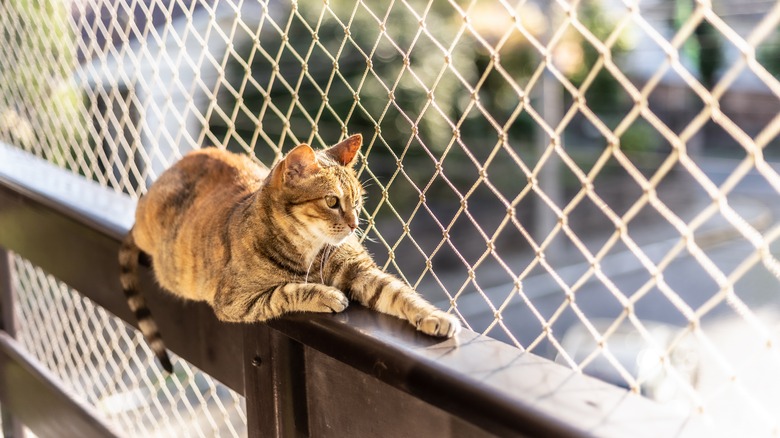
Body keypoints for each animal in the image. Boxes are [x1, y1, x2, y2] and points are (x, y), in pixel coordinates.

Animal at [119, 134, 460, 372]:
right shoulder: (234, 300)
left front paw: (434, 316)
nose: (354, 224)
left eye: (357, 200)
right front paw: (326, 295)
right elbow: (285, 291)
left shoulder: (360, 271)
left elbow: (399, 293)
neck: (310, 247)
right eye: (332, 202)